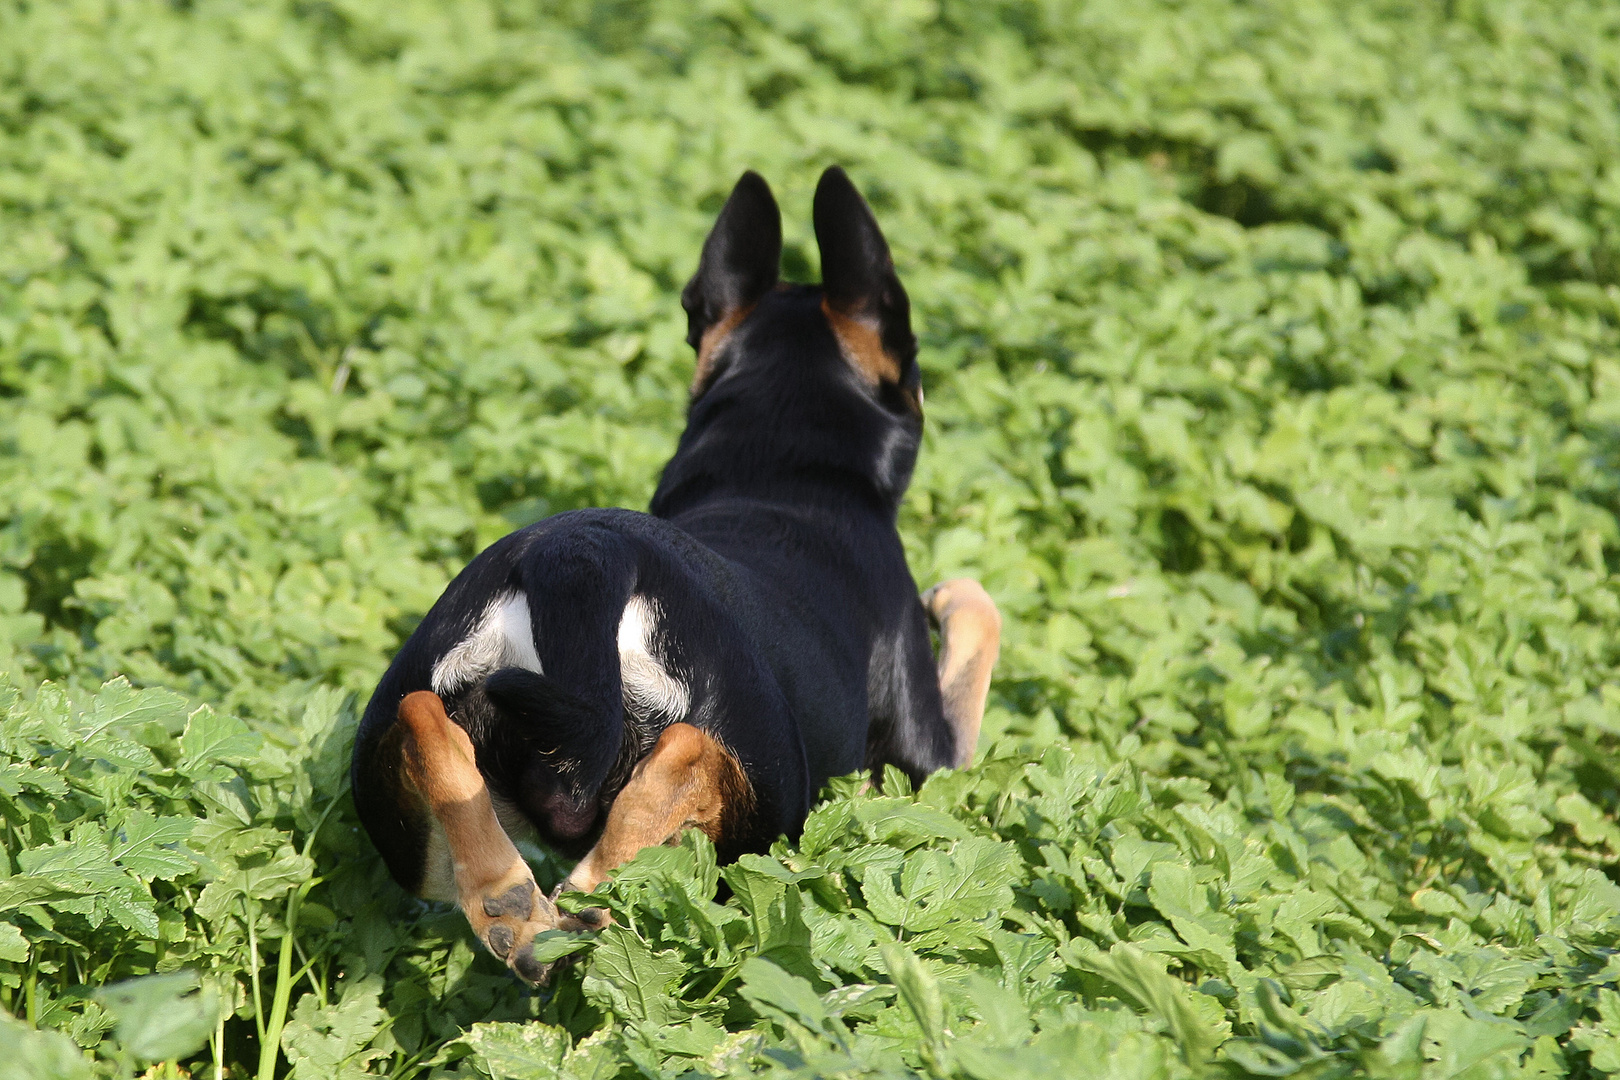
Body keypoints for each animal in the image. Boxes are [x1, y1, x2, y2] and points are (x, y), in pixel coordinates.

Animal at [354, 165, 997, 984]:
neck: (780, 469)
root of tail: (583, 553)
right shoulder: (931, 760)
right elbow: (978, 621)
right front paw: (952, 593)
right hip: (771, 783)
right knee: (688, 754)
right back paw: (596, 893)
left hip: (406, 799)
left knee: (423, 725)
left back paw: (513, 906)